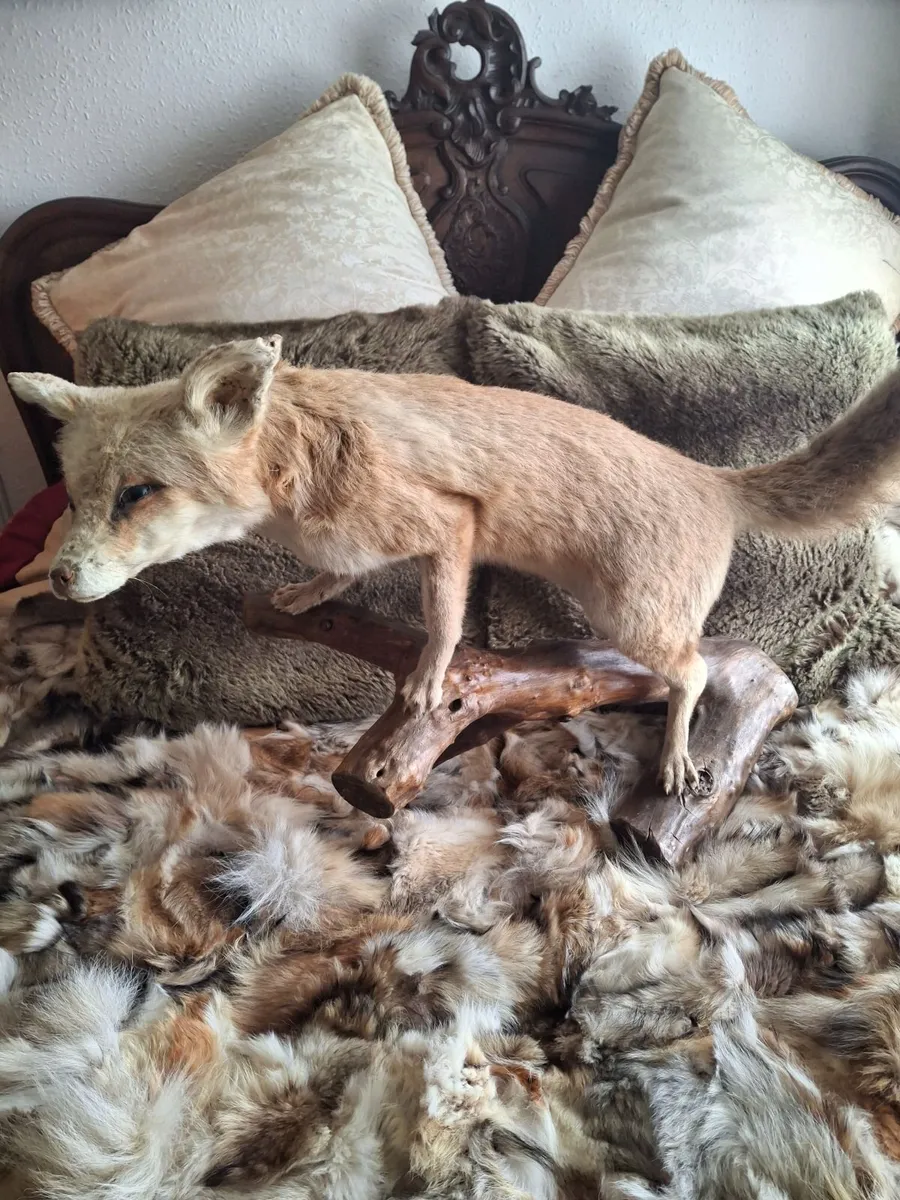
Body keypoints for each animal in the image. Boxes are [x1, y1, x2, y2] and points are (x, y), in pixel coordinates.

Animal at [8, 336, 900, 796]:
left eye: (138, 494)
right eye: (77, 498)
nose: (60, 579)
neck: (301, 471)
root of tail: (712, 478)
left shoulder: (449, 526)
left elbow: (443, 622)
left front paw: (433, 677)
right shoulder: (357, 546)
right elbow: (337, 580)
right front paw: (306, 594)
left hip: (632, 618)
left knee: (693, 671)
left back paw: (679, 756)